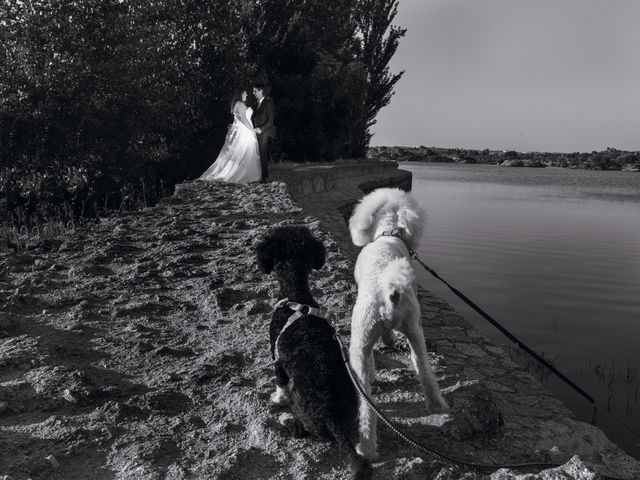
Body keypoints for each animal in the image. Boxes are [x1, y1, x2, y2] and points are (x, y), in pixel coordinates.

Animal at [258, 226, 372, 480]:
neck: (297, 300)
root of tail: (331, 415)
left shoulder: (276, 356)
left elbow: (280, 382)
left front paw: (277, 399)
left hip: (301, 411)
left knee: (300, 431)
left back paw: (286, 420)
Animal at [348, 188, 448, 462]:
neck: (388, 233)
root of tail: (389, 289)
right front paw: (389, 339)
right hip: (415, 329)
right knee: (424, 369)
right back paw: (437, 406)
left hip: (359, 341)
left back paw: (367, 449)